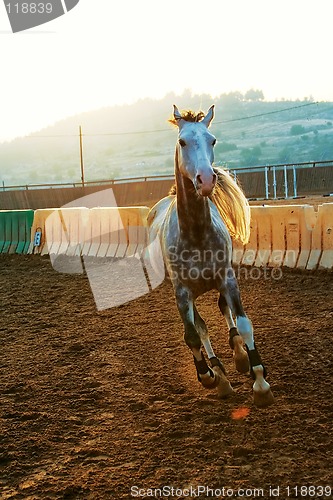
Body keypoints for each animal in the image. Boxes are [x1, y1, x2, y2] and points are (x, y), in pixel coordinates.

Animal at [147, 104, 272, 406]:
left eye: (212, 140)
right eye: (182, 141)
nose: (205, 179)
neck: (195, 232)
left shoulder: (227, 279)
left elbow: (244, 323)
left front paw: (260, 382)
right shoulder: (182, 293)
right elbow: (193, 335)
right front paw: (208, 375)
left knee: (224, 311)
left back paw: (239, 357)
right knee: (202, 328)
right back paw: (221, 375)